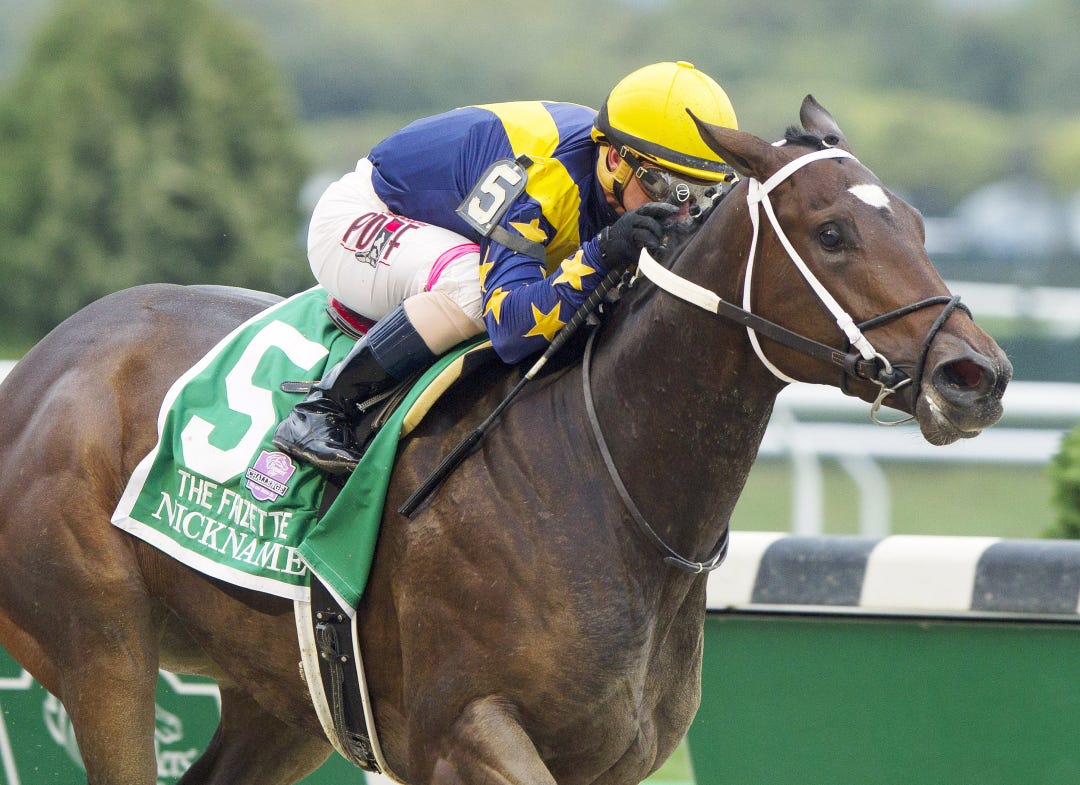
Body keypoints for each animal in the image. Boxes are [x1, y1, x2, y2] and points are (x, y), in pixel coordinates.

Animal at [0, 96, 1010, 784]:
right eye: (832, 232)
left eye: (917, 223)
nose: (976, 375)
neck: (598, 482)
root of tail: (37, 368)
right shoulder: (466, 733)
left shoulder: (609, 759)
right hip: (104, 653)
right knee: (455, 281)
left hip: (279, 697)